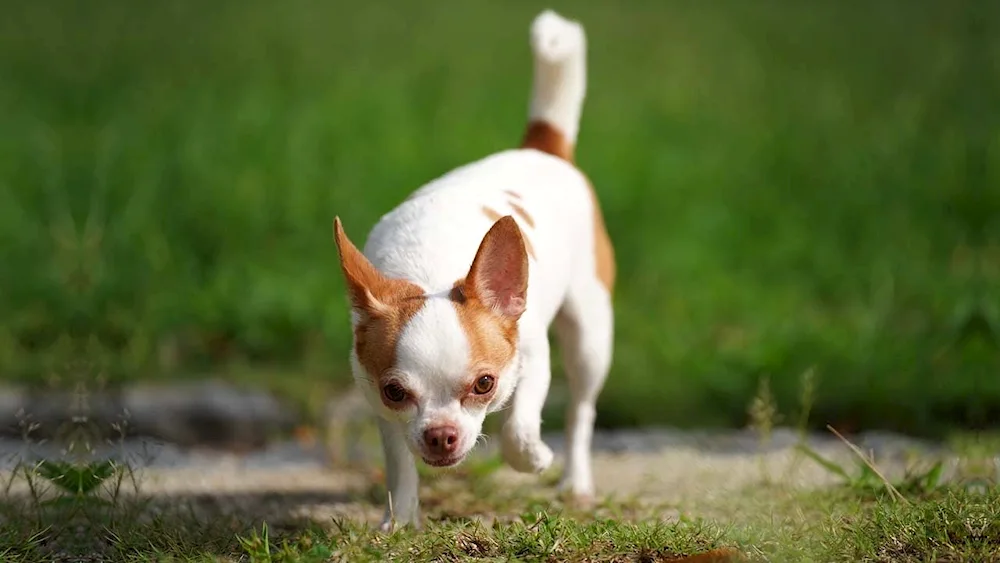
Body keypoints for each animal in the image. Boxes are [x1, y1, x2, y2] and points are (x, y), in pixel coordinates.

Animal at [336, 8, 612, 532]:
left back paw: (576, 480)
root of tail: (542, 147)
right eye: (395, 391)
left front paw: (534, 458)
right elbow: (398, 463)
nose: (441, 434)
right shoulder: (375, 400)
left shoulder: (530, 357)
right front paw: (400, 521)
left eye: (484, 384)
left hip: (590, 334)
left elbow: (518, 429)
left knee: (581, 411)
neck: (430, 272)